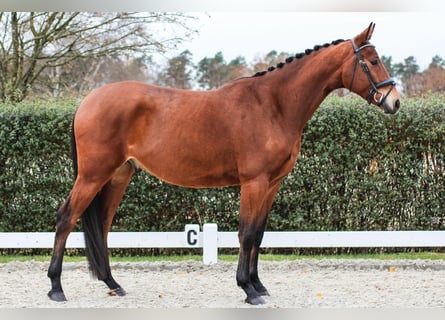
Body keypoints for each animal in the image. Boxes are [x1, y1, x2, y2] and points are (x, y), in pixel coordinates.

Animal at [47, 23, 398, 304]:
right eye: (372, 61)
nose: (394, 102)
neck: (273, 105)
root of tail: (88, 101)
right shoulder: (254, 182)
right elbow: (246, 233)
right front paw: (248, 290)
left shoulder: (272, 184)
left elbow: (259, 233)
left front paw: (259, 285)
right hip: (93, 175)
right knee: (66, 218)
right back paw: (56, 288)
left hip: (118, 176)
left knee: (102, 226)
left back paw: (113, 283)